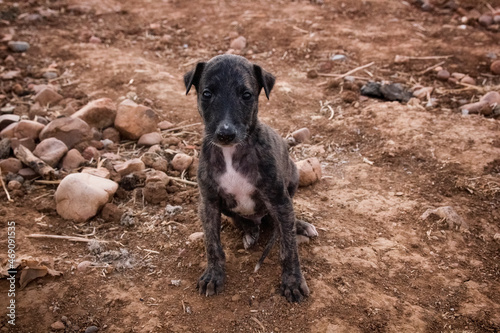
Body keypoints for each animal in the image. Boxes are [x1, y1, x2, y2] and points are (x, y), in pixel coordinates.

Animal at [184, 54, 316, 300]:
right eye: (206, 93)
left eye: (246, 95)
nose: (225, 134)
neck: (232, 152)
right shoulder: (209, 202)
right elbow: (212, 244)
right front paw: (213, 275)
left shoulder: (279, 200)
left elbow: (289, 247)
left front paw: (293, 281)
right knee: (244, 220)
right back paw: (250, 231)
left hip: (292, 177)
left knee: (284, 221)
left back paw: (300, 226)